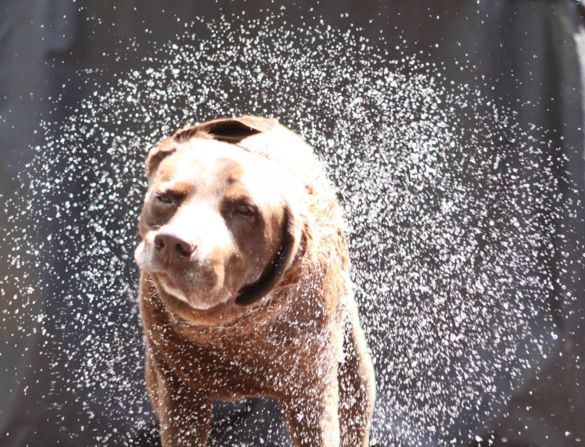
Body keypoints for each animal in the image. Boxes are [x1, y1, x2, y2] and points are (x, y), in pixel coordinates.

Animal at [135, 117, 376, 446]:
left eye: (245, 211)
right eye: (165, 198)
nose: (174, 243)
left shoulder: (309, 386)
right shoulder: (177, 384)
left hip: (352, 361)